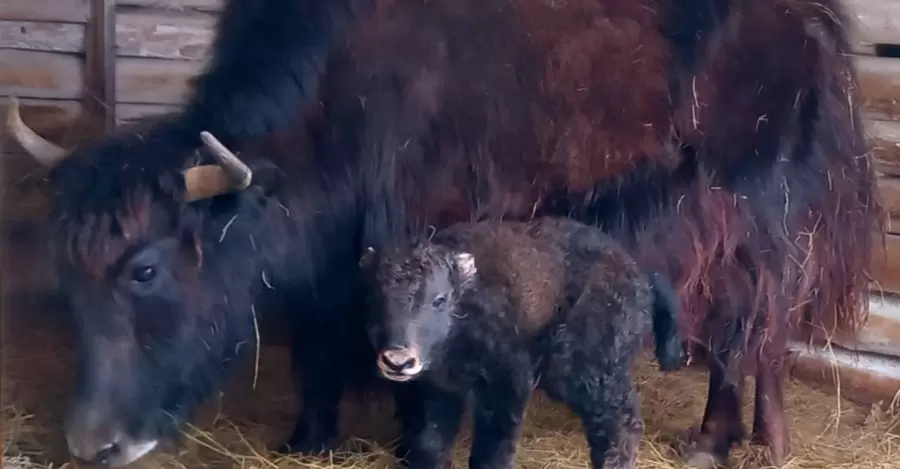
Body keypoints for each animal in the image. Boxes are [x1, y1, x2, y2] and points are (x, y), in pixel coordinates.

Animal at [358, 218, 684, 468]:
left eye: (439, 299)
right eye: (376, 297)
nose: (397, 360)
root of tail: (640, 274)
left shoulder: (507, 385)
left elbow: (492, 450)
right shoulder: (437, 391)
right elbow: (430, 444)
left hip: (586, 370)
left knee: (620, 422)